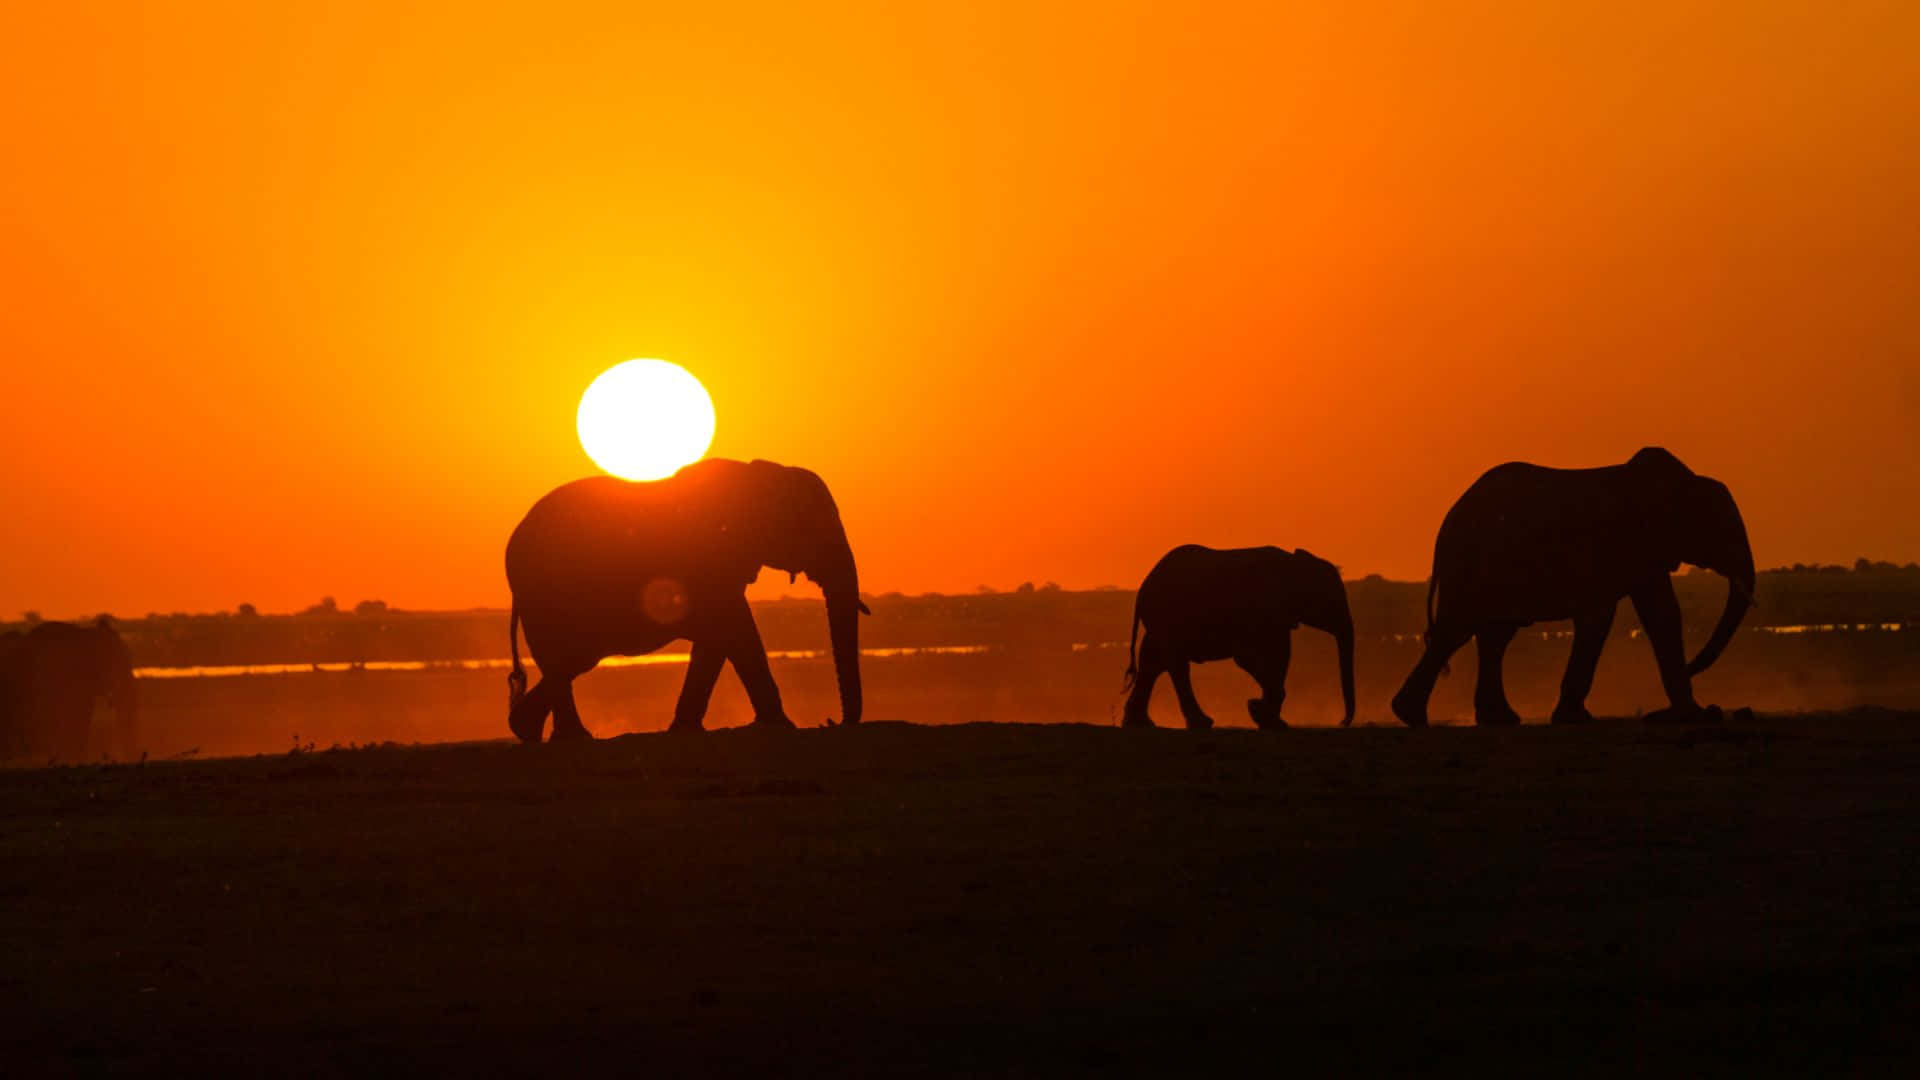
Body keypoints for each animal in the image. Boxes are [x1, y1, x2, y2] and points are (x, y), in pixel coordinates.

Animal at [510, 453, 871, 737]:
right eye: (811, 528)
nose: (830, 722)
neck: (759, 476)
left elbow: (719, 638)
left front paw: (686, 729)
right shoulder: (706, 560)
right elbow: (736, 630)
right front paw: (781, 726)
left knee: (573, 661)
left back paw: (529, 729)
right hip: (542, 594)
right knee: (567, 659)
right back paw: (568, 737)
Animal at [1121, 541, 1359, 726]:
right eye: (1331, 601)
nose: (1342, 722)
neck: (1295, 564)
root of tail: (1143, 587)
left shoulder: (1279, 617)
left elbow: (1280, 656)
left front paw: (1267, 717)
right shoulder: (1261, 610)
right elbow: (1249, 658)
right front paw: (1259, 712)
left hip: (1160, 621)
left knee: (1153, 662)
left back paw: (1141, 724)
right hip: (1169, 617)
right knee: (1175, 664)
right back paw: (1201, 723)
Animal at [1390, 441, 1758, 726]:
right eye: (1721, 530)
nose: (1693, 667)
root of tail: (1447, 522)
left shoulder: (1646, 552)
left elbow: (1662, 614)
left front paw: (1693, 714)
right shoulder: (1614, 543)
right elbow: (1599, 616)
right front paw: (1575, 718)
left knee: (1494, 634)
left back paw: (1496, 719)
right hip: (1473, 561)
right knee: (1459, 629)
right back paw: (1412, 716)